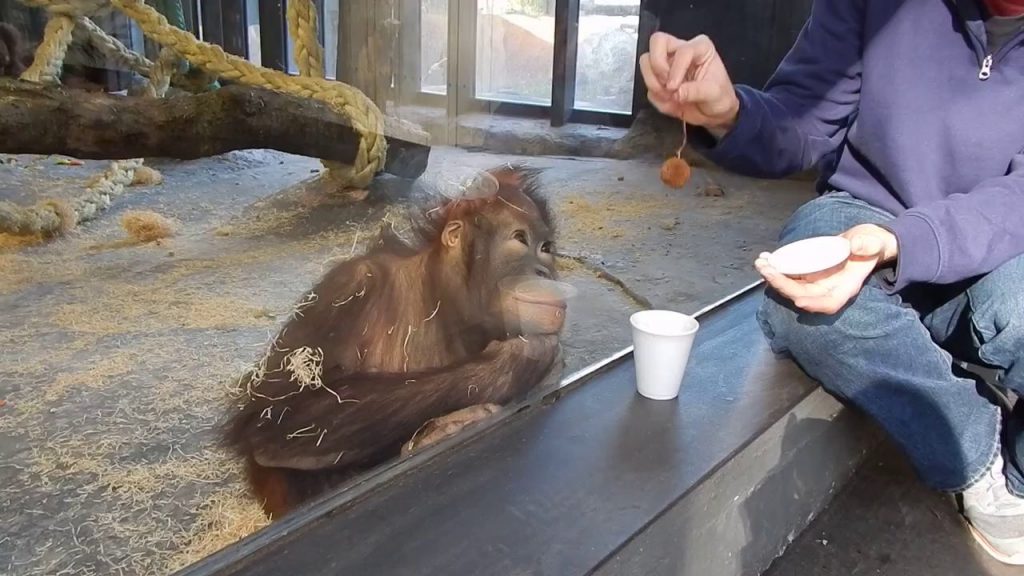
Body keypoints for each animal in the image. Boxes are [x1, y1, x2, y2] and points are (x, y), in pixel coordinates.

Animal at [222, 164, 570, 519]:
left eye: (546, 249)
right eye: (520, 239)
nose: (544, 272)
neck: (441, 297)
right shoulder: (346, 290)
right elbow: (278, 418)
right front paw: (520, 358)